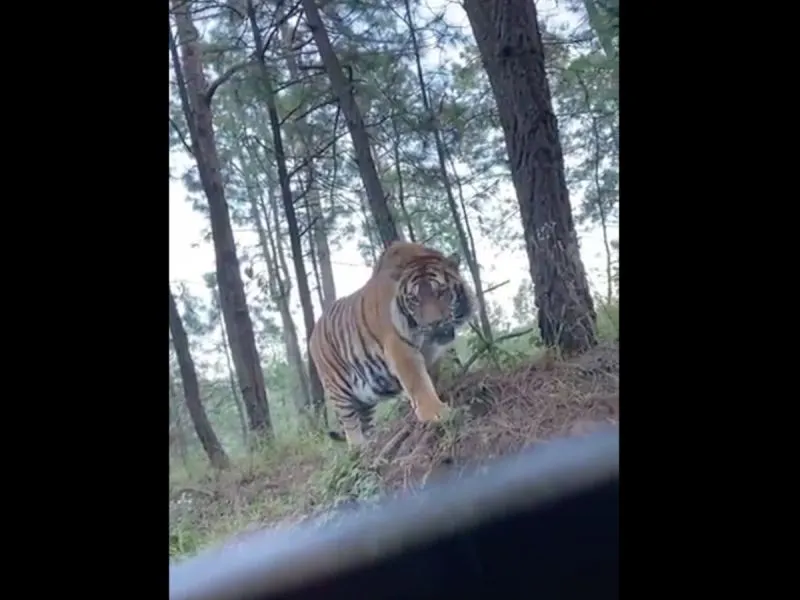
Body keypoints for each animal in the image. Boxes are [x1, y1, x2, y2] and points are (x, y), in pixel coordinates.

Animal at [308, 241, 475, 449]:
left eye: (441, 292)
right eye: (414, 299)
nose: (433, 323)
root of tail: (312, 334)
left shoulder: (432, 355)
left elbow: (432, 378)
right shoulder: (399, 347)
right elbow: (418, 382)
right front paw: (436, 413)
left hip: (365, 398)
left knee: (364, 421)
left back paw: (371, 443)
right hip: (338, 388)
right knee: (350, 423)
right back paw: (358, 447)